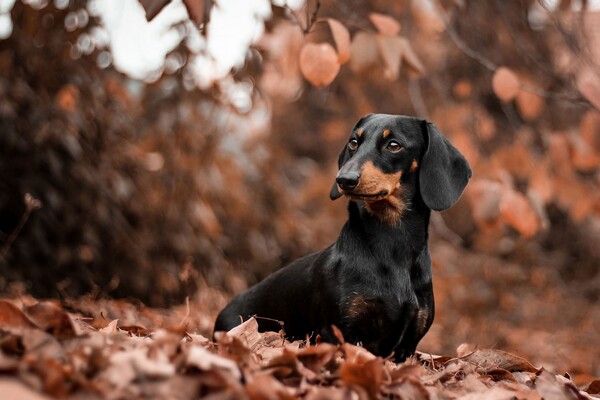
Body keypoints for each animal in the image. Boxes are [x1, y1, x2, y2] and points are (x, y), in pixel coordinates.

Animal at [213, 114, 472, 360]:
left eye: (394, 145)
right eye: (354, 142)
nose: (344, 179)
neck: (392, 249)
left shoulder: (408, 344)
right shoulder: (338, 332)